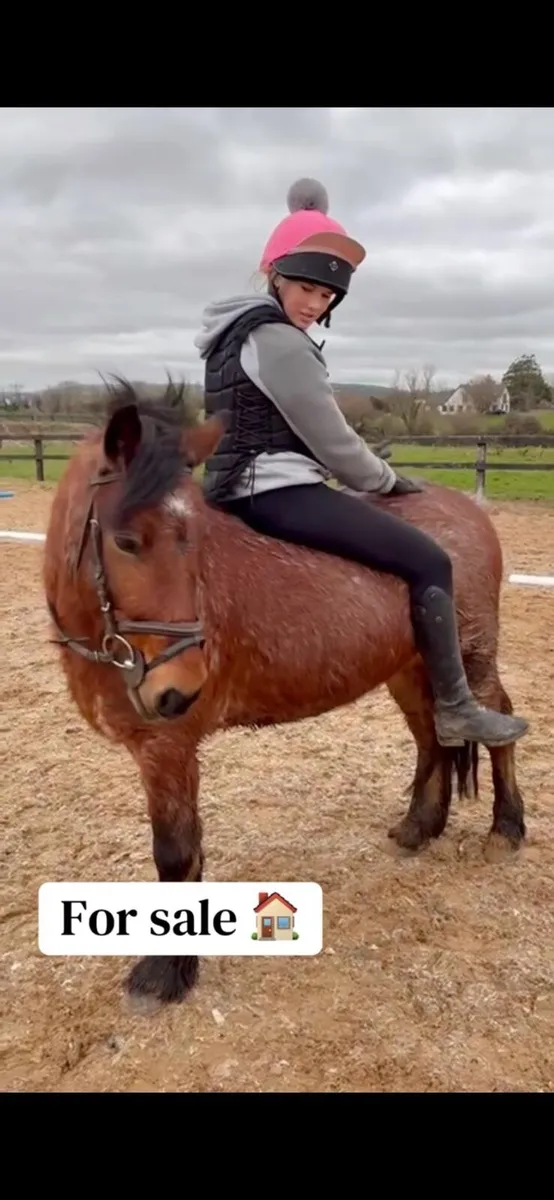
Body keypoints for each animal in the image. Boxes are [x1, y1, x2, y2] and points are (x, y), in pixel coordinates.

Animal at [42, 379, 526, 1008]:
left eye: (196, 539)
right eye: (126, 541)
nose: (179, 691)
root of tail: (468, 510)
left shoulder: (168, 747)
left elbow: (175, 852)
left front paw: (164, 973)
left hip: (472, 655)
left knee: (498, 724)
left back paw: (506, 829)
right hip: (411, 668)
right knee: (431, 736)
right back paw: (420, 826)